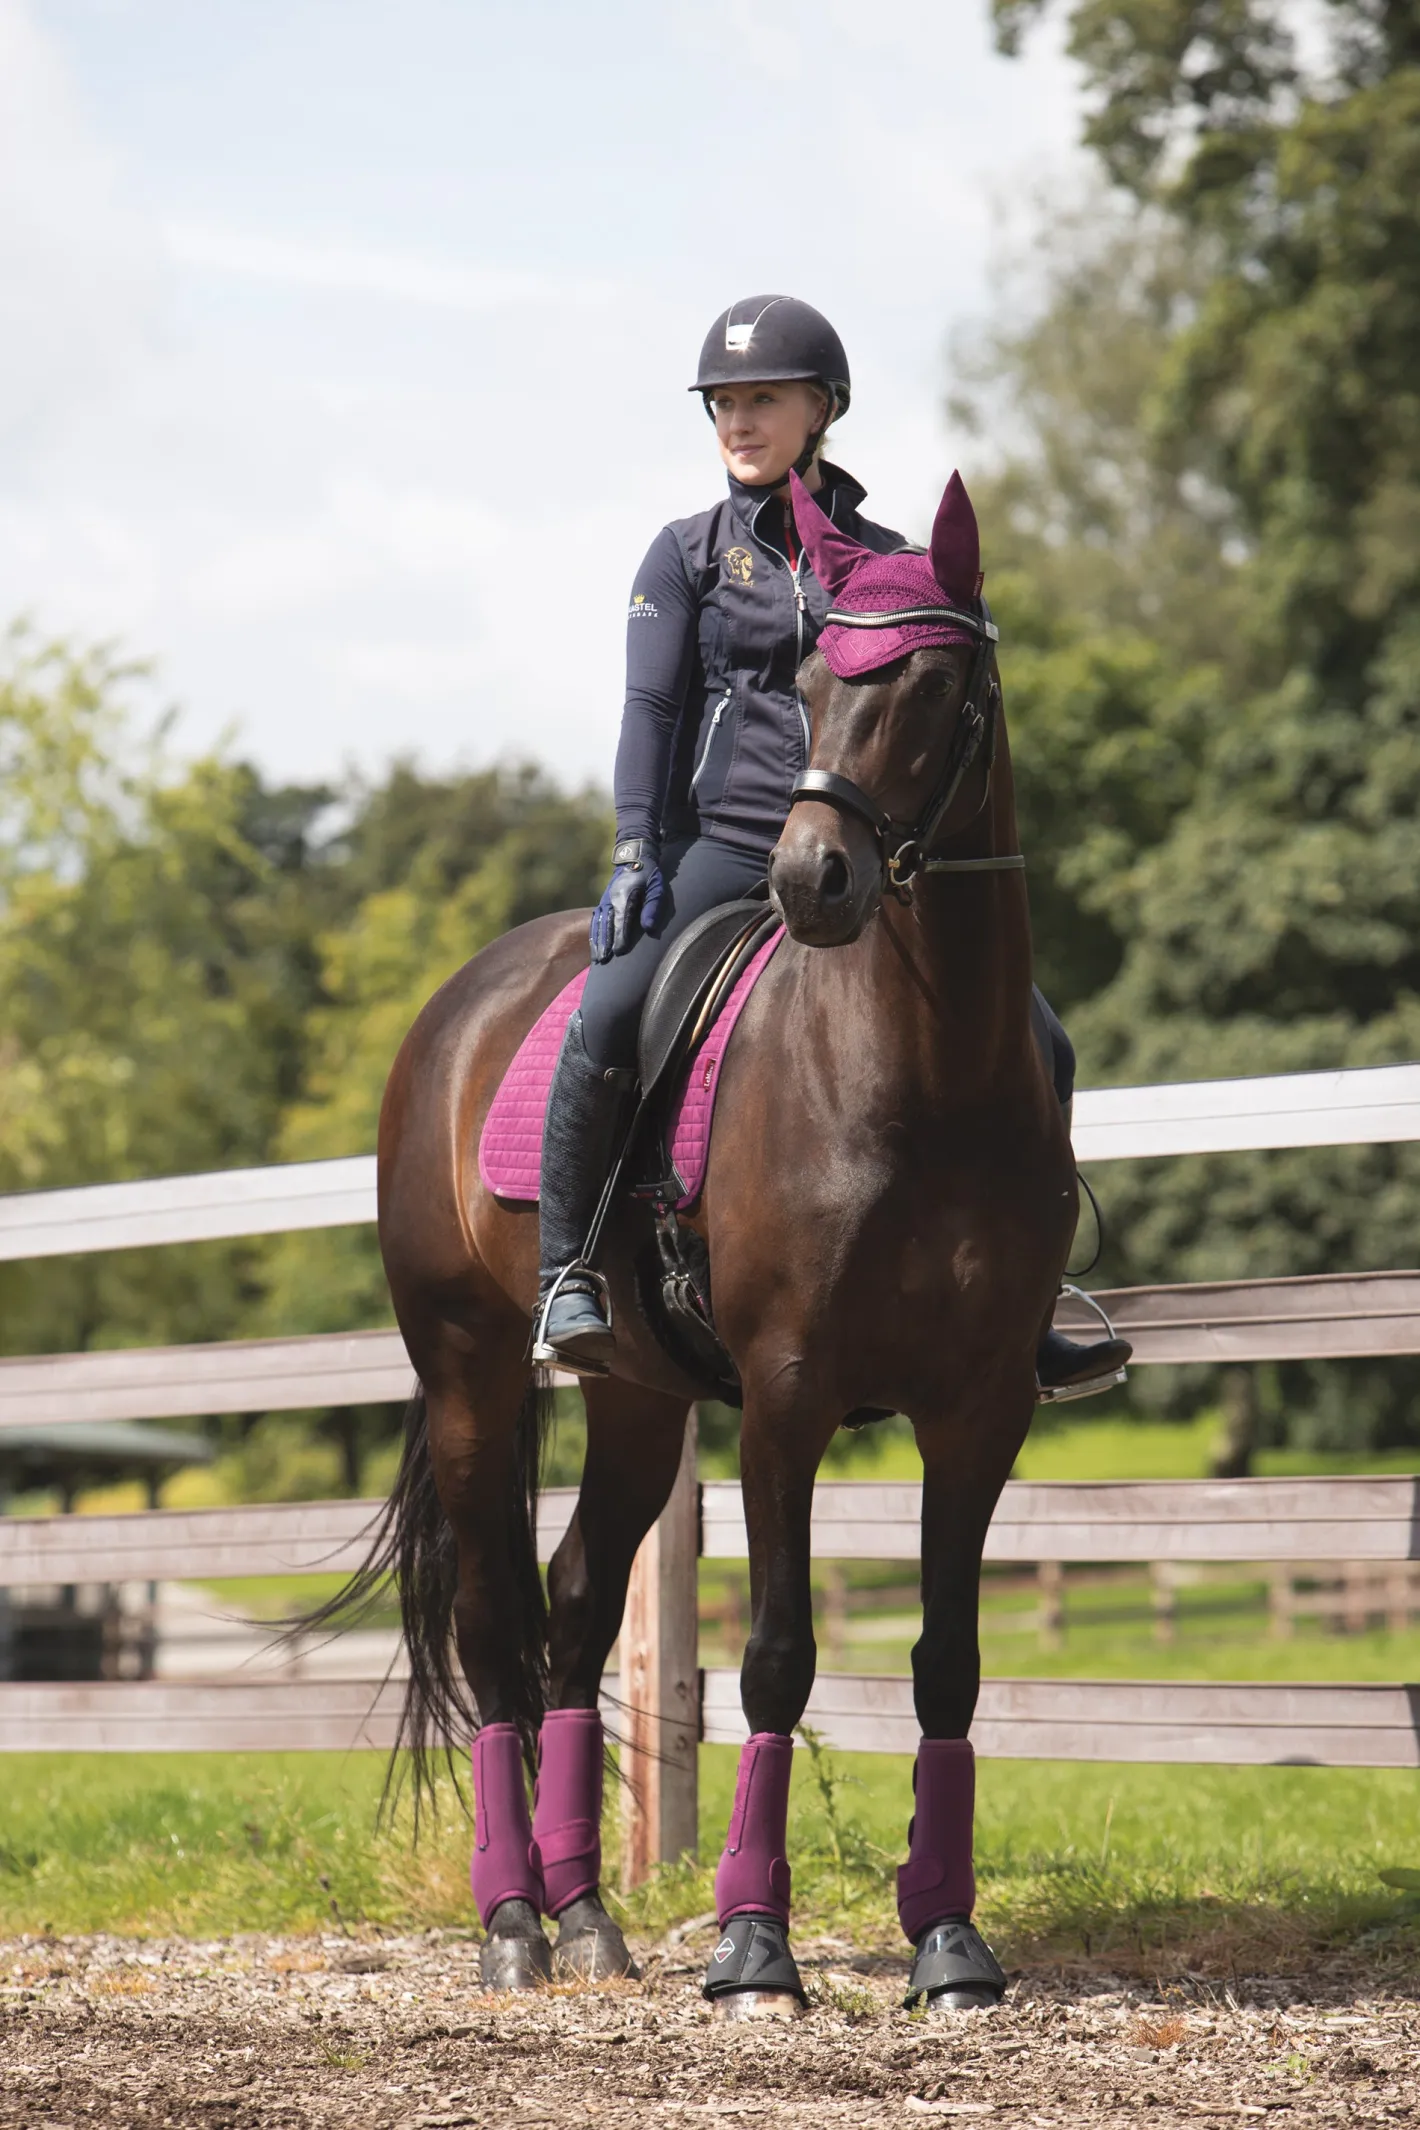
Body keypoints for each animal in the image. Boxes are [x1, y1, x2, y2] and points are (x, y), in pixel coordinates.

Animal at [350, 468, 1076, 2013]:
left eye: (935, 682)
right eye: (801, 679)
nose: (814, 876)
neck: (920, 1076)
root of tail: (459, 1001)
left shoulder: (981, 1408)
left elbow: (948, 1660)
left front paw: (949, 1942)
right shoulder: (789, 1399)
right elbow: (778, 1658)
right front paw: (753, 1948)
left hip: (635, 1398)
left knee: (573, 1606)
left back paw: (585, 1918)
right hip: (469, 1371)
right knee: (496, 1630)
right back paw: (514, 1925)